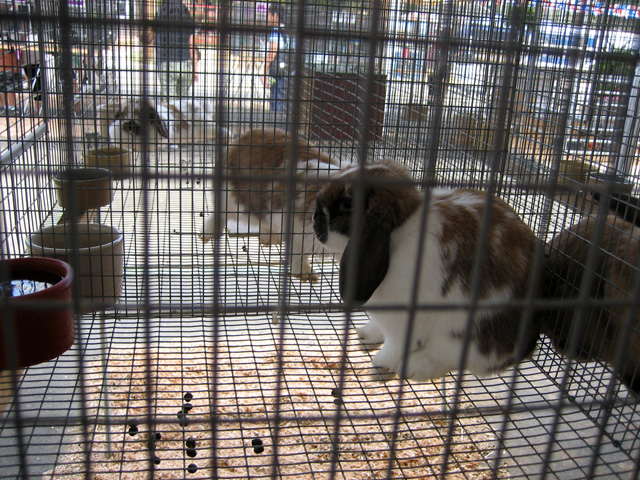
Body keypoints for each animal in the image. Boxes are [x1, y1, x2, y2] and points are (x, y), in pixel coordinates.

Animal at [200, 127, 342, 284]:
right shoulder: (298, 233)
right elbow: (298, 256)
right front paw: (307, 274)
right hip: (233, 203)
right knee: (218, 216)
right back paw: (206, 235)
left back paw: (269, 239)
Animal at [312, 159, 544, 380]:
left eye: (347, 203)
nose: (315, 220)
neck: (400, 230)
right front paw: (367, 335)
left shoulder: (403, 323)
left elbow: (395, 346)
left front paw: (379, 367)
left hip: (466, 337)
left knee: (451, 356)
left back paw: (417, 367)